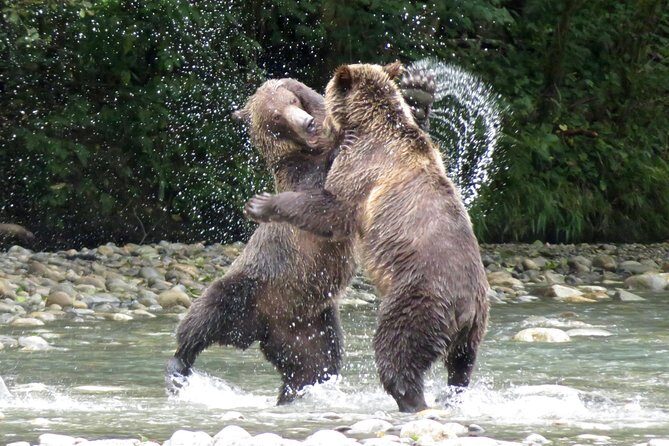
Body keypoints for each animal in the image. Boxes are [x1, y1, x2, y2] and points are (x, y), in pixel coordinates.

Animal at [166, 73, 436, 405]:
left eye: (293, 100)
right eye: (276, 119)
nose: (308, 123)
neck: (309, 148)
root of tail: (261, 328)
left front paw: (419, 97)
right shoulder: (302, 175)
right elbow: (322, 195)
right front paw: (342, 142)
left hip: (312, 324)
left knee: (316, 363)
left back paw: (292, 392)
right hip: (252, 284)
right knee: (207, 311)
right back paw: (179, 363)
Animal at [244, 62, 489, 412]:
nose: (315, 122)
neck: (370, 122)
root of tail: (466, 308)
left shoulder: (360, 168)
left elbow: (333, 210)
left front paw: (262, 204)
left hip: (420, 298)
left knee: (397, 349)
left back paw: (410, 399)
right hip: (474, 330)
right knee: (461, 365)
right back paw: (450, 395)